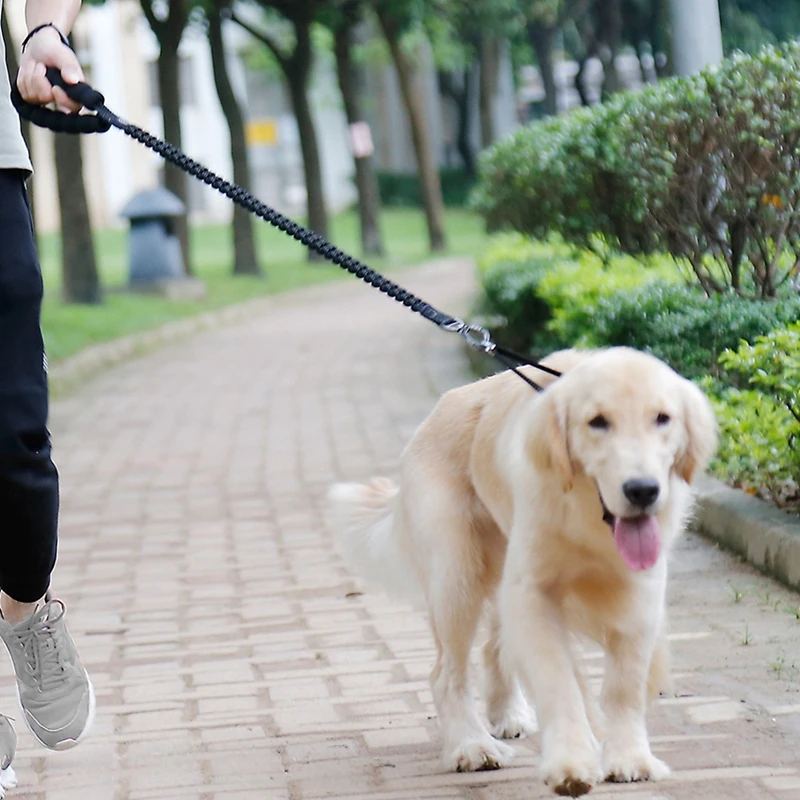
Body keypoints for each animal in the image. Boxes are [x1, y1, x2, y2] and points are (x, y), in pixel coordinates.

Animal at [328, 346, 716, 796]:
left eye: (662, 418)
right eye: (597, 421)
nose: (642, 490)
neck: (587, 516)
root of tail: (441, 408)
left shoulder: (640, 592)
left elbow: (625, 686)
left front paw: (629, 758)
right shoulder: (533, 592)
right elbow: (558, 682)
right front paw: (570, 763)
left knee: (494, 649)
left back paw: (509, 715)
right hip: (456, 576)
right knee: (446, 674)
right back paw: (472, 746)